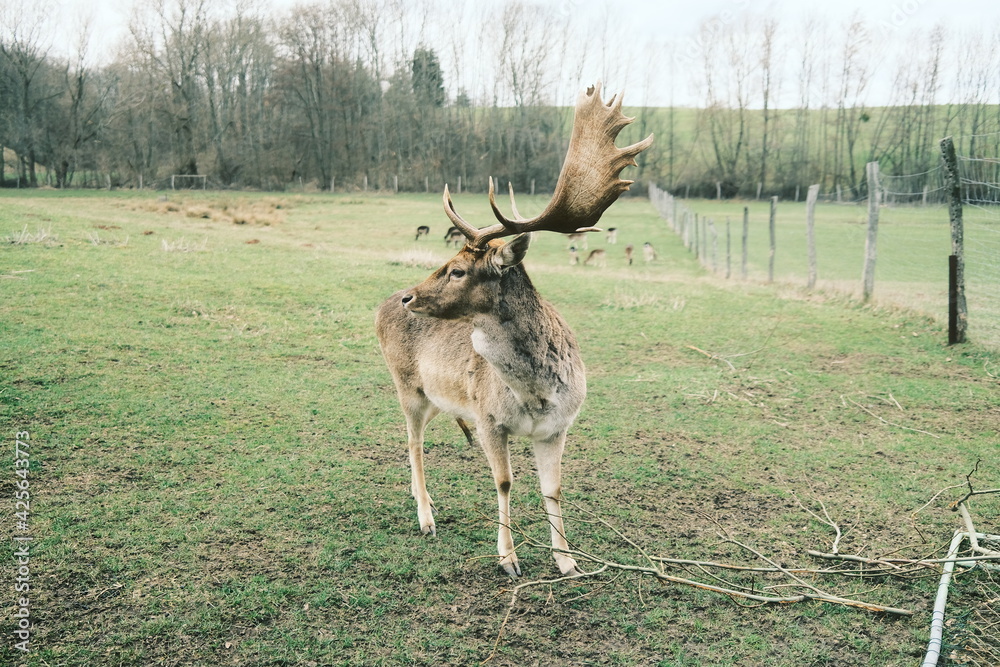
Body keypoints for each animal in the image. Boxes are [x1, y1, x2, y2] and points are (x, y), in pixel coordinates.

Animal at [375, 83, 652, 578]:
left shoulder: (558, 427)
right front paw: (508, 559)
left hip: (434, 397)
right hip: (406, 386)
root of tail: (377, 309)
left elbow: (553, 489)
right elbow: (504, 483)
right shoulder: (488, 418)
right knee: (413, 441)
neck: (536, 392)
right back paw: (426, 516)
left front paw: (567, 561)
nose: (410, 298)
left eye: (459, 270)